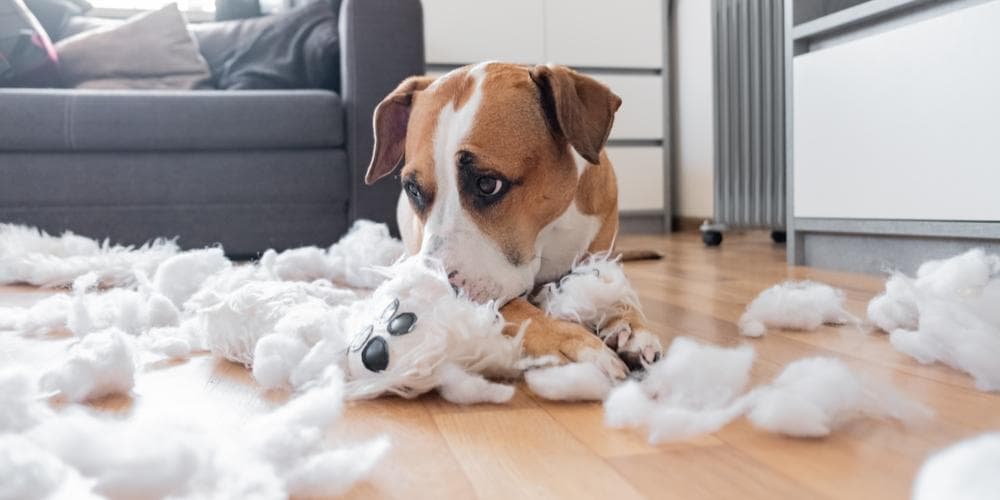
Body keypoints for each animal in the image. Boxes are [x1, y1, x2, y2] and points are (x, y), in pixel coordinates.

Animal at [364, 61, 660, 378]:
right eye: (413, 189)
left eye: (487, 184)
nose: (432, 292)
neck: (548, 232)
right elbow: (517, 309)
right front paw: (574, 343)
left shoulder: (600, 256)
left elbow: (614, 286)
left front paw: (630, 324)